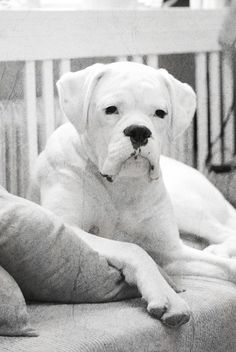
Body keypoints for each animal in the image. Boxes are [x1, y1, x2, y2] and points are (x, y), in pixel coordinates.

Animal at [29, 62, 236, 328]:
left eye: (160, 113)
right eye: (111, 110)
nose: (139, 131)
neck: (121, 185)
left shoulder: (172, 251)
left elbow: (226, 266)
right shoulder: (68, 228)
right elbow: (134, 249)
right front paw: (166, 295)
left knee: (225, 231)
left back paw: (217, 248)